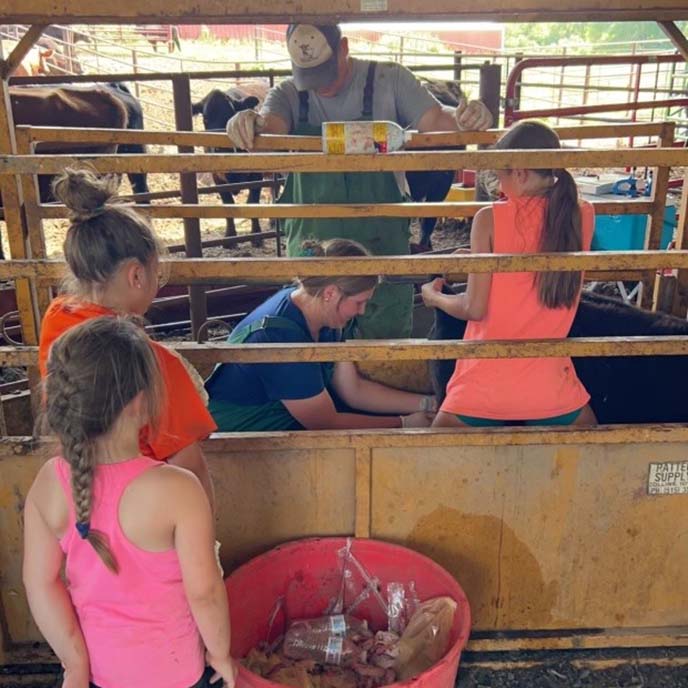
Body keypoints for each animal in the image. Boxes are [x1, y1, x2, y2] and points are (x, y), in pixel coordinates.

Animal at [195, 86, 270, 243]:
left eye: (228, 116)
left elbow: (253, 202)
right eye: (205, 119)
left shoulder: (257, 174)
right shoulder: (217, 176)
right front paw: (230, 236)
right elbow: (227, 204)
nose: (218, 148)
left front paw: (256, 235)